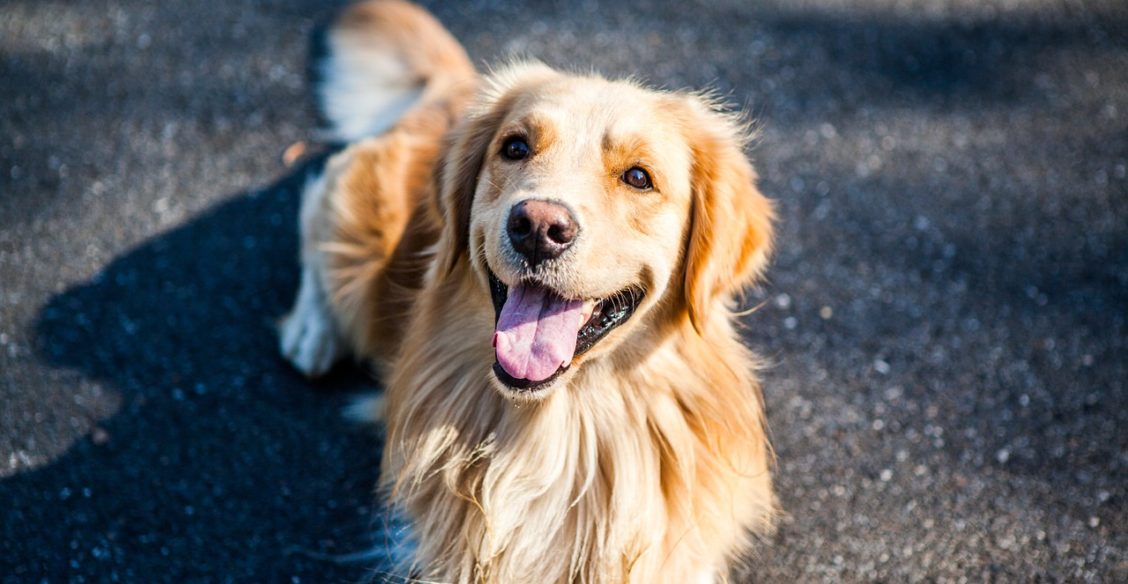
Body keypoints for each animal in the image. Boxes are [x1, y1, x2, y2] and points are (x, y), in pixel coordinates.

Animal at [279, 2, 776, 581]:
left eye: (638, 177)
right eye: (515, 147)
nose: (538, 227)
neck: (560, 427)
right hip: (356, 232)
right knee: (314, 206)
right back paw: (311, 330)